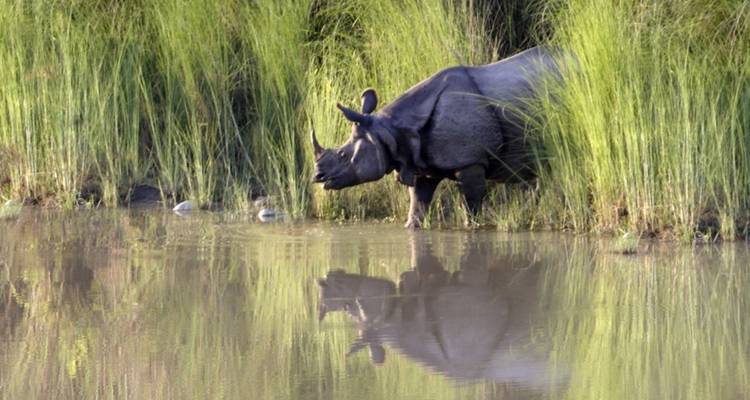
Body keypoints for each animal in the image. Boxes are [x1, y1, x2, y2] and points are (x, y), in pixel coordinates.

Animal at [311, 46, 563, 228]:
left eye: (343, 155)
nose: (317, 177)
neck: (391, 131)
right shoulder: (420, 166)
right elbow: (417, 206)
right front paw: (411, 227)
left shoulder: (471, 162)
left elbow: (472, 206)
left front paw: (472, 228)